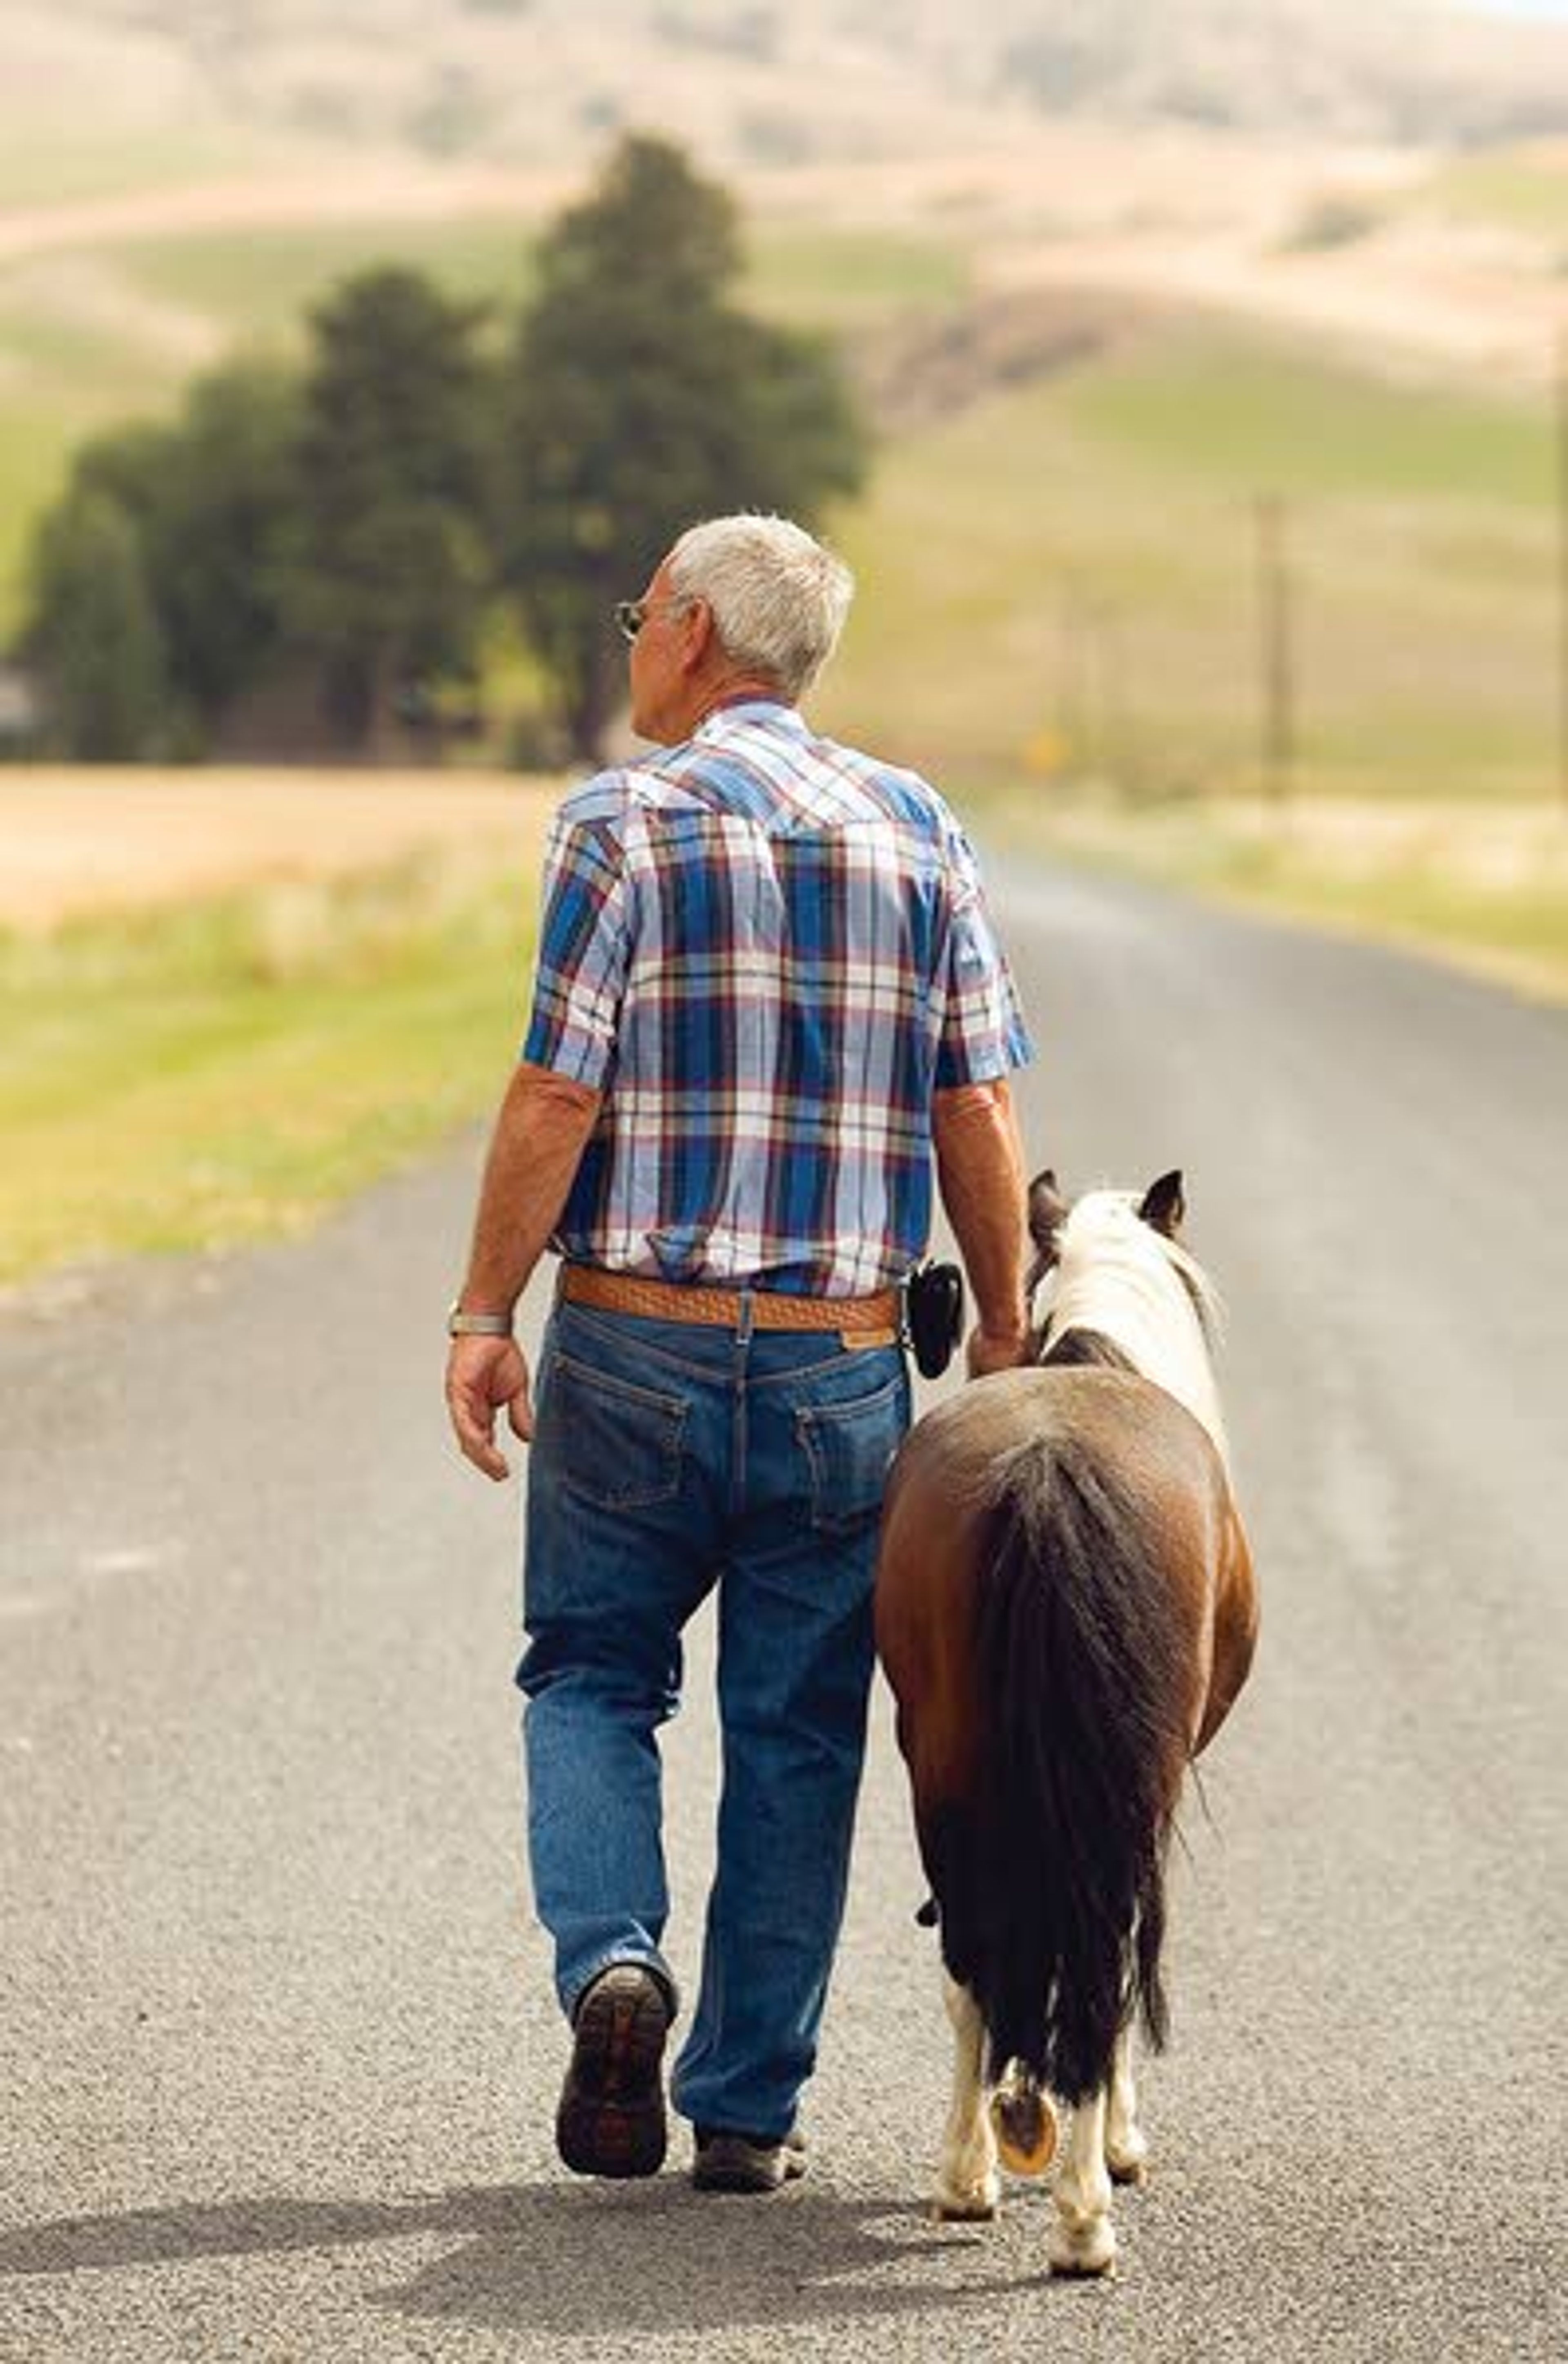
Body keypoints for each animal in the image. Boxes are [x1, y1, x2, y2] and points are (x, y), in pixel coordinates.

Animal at [875, 1168, 1258, 2277]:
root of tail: (1047, 1467)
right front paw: (1119, 2145)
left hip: (944, 1765)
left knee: (971, 1956)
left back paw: (974, 2174)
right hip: (1125, 1791)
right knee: (1101, 1964)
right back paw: (1080, 2211)